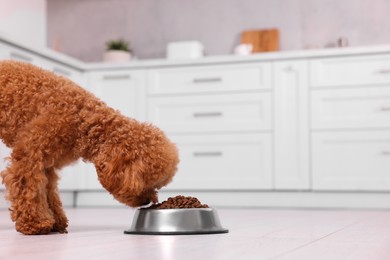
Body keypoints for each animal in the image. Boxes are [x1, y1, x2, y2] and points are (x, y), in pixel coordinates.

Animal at [0, 60, 179, 234]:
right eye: (146, 183)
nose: (148, 201)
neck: (83, 119)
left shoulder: (48, 165)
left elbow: (48, 191)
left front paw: (56, 222)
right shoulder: (29, 157)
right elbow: (29, 188)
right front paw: (36, 223)